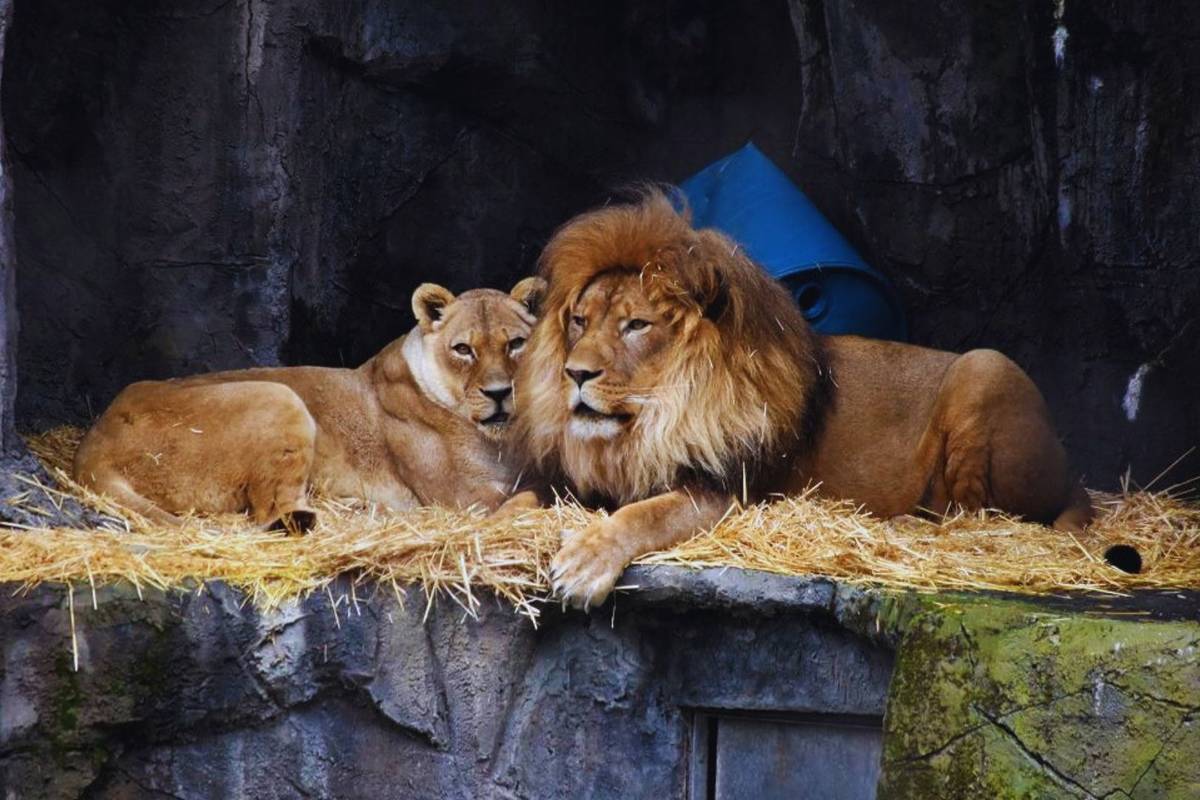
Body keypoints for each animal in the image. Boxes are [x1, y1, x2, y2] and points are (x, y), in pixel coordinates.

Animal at [73, 278, 546, 530]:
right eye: (463, 349)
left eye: (516, 344)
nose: (499, 392)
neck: (497, 439)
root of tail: (91, 445)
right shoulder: (462, 498)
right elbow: (533, 495)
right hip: (278, 395)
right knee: (270, 514)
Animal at [512, 191, 1093, 608]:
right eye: (579, 321)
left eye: (636, 325)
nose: (575, 373)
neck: (648, 425)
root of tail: (1075, 475)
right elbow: (518, 500)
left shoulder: (730, 491)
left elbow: (645, 515)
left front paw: (584, 563)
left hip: (986, 366)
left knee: (980, 518)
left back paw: (905, 525)